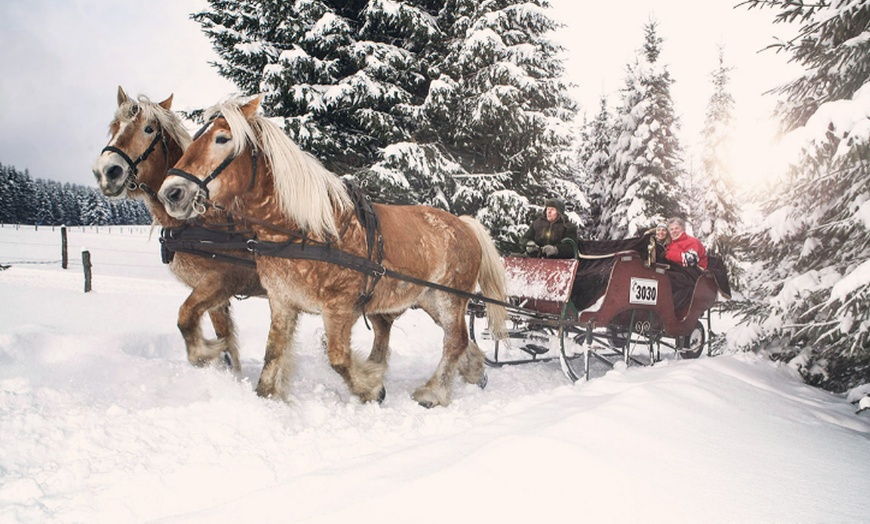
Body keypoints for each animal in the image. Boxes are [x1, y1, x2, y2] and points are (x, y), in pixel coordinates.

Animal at [91, 87, 266, 372]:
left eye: (149, 129)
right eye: (115, 127)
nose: (107, 172)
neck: (203, 222)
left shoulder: (221, 281)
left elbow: (186, 317)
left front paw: (205, 352)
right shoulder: (215, 295)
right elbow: (226, 342)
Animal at [159, 94, 508, 408]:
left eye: (222, 138)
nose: (171, 193)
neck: (306, 231)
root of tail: (464, 224)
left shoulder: (339, 307)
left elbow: (338, 358)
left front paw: (371, 388)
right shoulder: (282, 301)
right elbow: (274, 351)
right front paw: (267, 396)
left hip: (451, 297)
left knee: (454, 340)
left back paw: (433, 392)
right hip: (429, 298)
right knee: (457, 339)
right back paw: (474, 371)